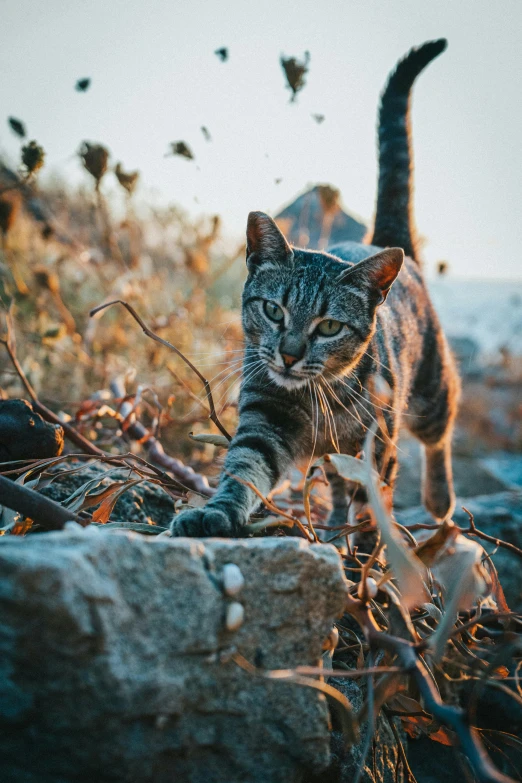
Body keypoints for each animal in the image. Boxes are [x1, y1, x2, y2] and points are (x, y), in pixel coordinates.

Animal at [172, 36, 460, 540]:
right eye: (273, 311)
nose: (288, 355)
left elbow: (371, 513)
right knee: (337, 485)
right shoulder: (265, 419)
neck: (316, 398)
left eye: (329, 327)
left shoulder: (376, 447)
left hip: (431, 389)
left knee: (442, 428)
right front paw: (217, 513)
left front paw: (366, 556)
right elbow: (243, 471)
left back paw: (439, 499)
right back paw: (329, 527)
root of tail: (382, 241)